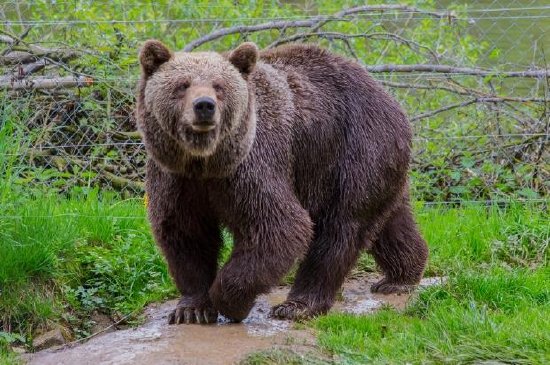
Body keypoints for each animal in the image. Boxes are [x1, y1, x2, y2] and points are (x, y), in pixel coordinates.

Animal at [136, 39, 430, 322]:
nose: (205, 106)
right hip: (376, 165)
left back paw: (298, 304)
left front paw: (231, 302)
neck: (206, 162)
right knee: (391, 221)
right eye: (182, 84)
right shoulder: (176, 178)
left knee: (341, 226)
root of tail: (389, 98)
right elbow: (186, 234)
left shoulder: (252, 167)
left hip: (353, 150)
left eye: (219, 86)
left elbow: (279, 227)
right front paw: (191, 309)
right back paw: (400, 276)